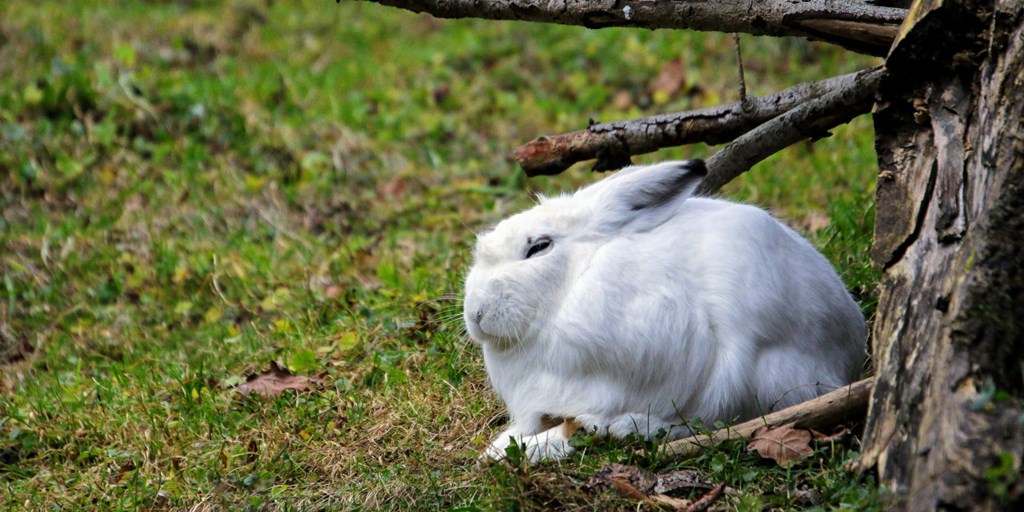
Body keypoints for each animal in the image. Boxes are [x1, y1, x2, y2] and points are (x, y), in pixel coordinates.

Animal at [464, 160, 864, 464]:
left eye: (539, 247)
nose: (476, 313)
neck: (571, 286)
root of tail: (850, 356)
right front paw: (500, 448)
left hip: (755, 375)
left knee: (717, 422)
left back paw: (633, 426)